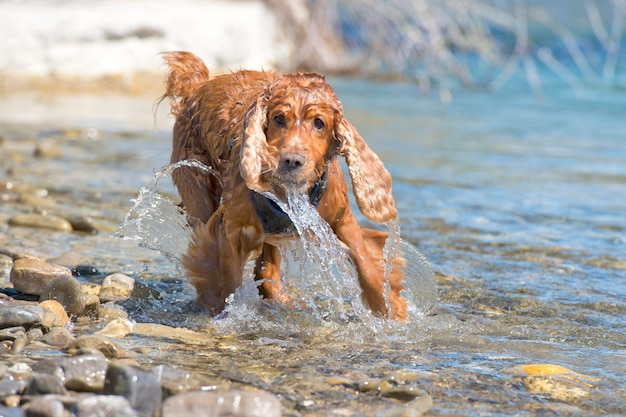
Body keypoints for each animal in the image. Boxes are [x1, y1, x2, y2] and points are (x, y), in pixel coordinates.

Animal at [158, 51, 408, 318]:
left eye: (319, 123)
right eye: (279, 118)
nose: (292, 160)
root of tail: (197, 87)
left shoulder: (342, 217)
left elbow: (367, 264)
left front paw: (389, 311)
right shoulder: (231, 229)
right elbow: (228, 280)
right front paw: (224, 310)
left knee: (267, 273)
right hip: (198, 192)